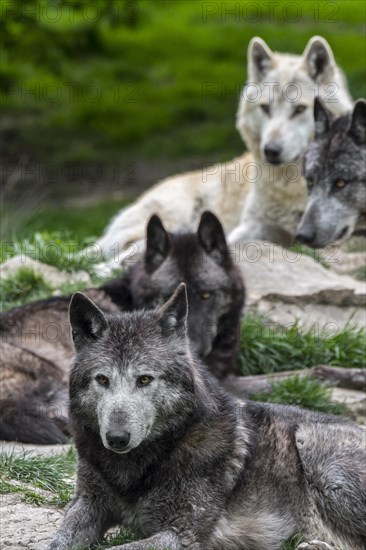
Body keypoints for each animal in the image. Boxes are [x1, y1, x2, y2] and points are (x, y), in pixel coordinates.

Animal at [47, 286, 364, 550]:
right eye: (102, 379)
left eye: (145, 379)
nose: (116, 438)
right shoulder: (87, 504)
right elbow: (58, 541)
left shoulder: (182, 534)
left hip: (314, 449)